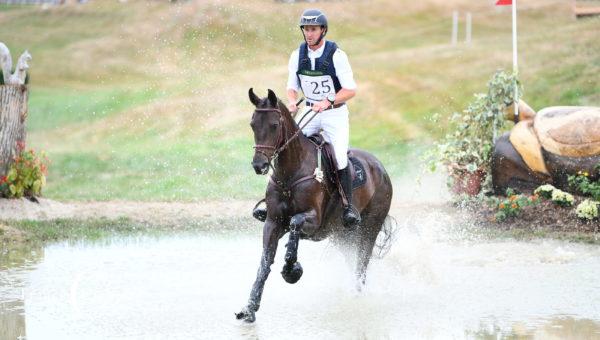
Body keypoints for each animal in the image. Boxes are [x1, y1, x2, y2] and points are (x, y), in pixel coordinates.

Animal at [237, 87, 396, 322]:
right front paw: (249, 308)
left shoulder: (313, 220)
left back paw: (357, 296)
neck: (291, 172)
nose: (259, 165)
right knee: (352, 262)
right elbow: (265, 264)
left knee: (362, 262)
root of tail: (380, 168)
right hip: (342, 235)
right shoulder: (273, 222)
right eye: (252, 124)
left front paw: (291, 270)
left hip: (369, 227)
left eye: (274, 125)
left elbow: (295, 223)